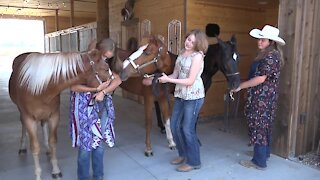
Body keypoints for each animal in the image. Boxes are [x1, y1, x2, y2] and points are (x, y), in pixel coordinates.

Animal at [8, 49, 113, 180]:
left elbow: (53, 142)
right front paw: (38, 175)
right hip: (22, 112)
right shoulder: (29, 119)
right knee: (23, 125)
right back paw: (22, 147)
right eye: (106, 69)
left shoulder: (54, 116)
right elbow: (35, 147)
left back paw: (47, 150)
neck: (40, 89)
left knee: (43, 125)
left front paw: (55, 170)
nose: (112, 86)